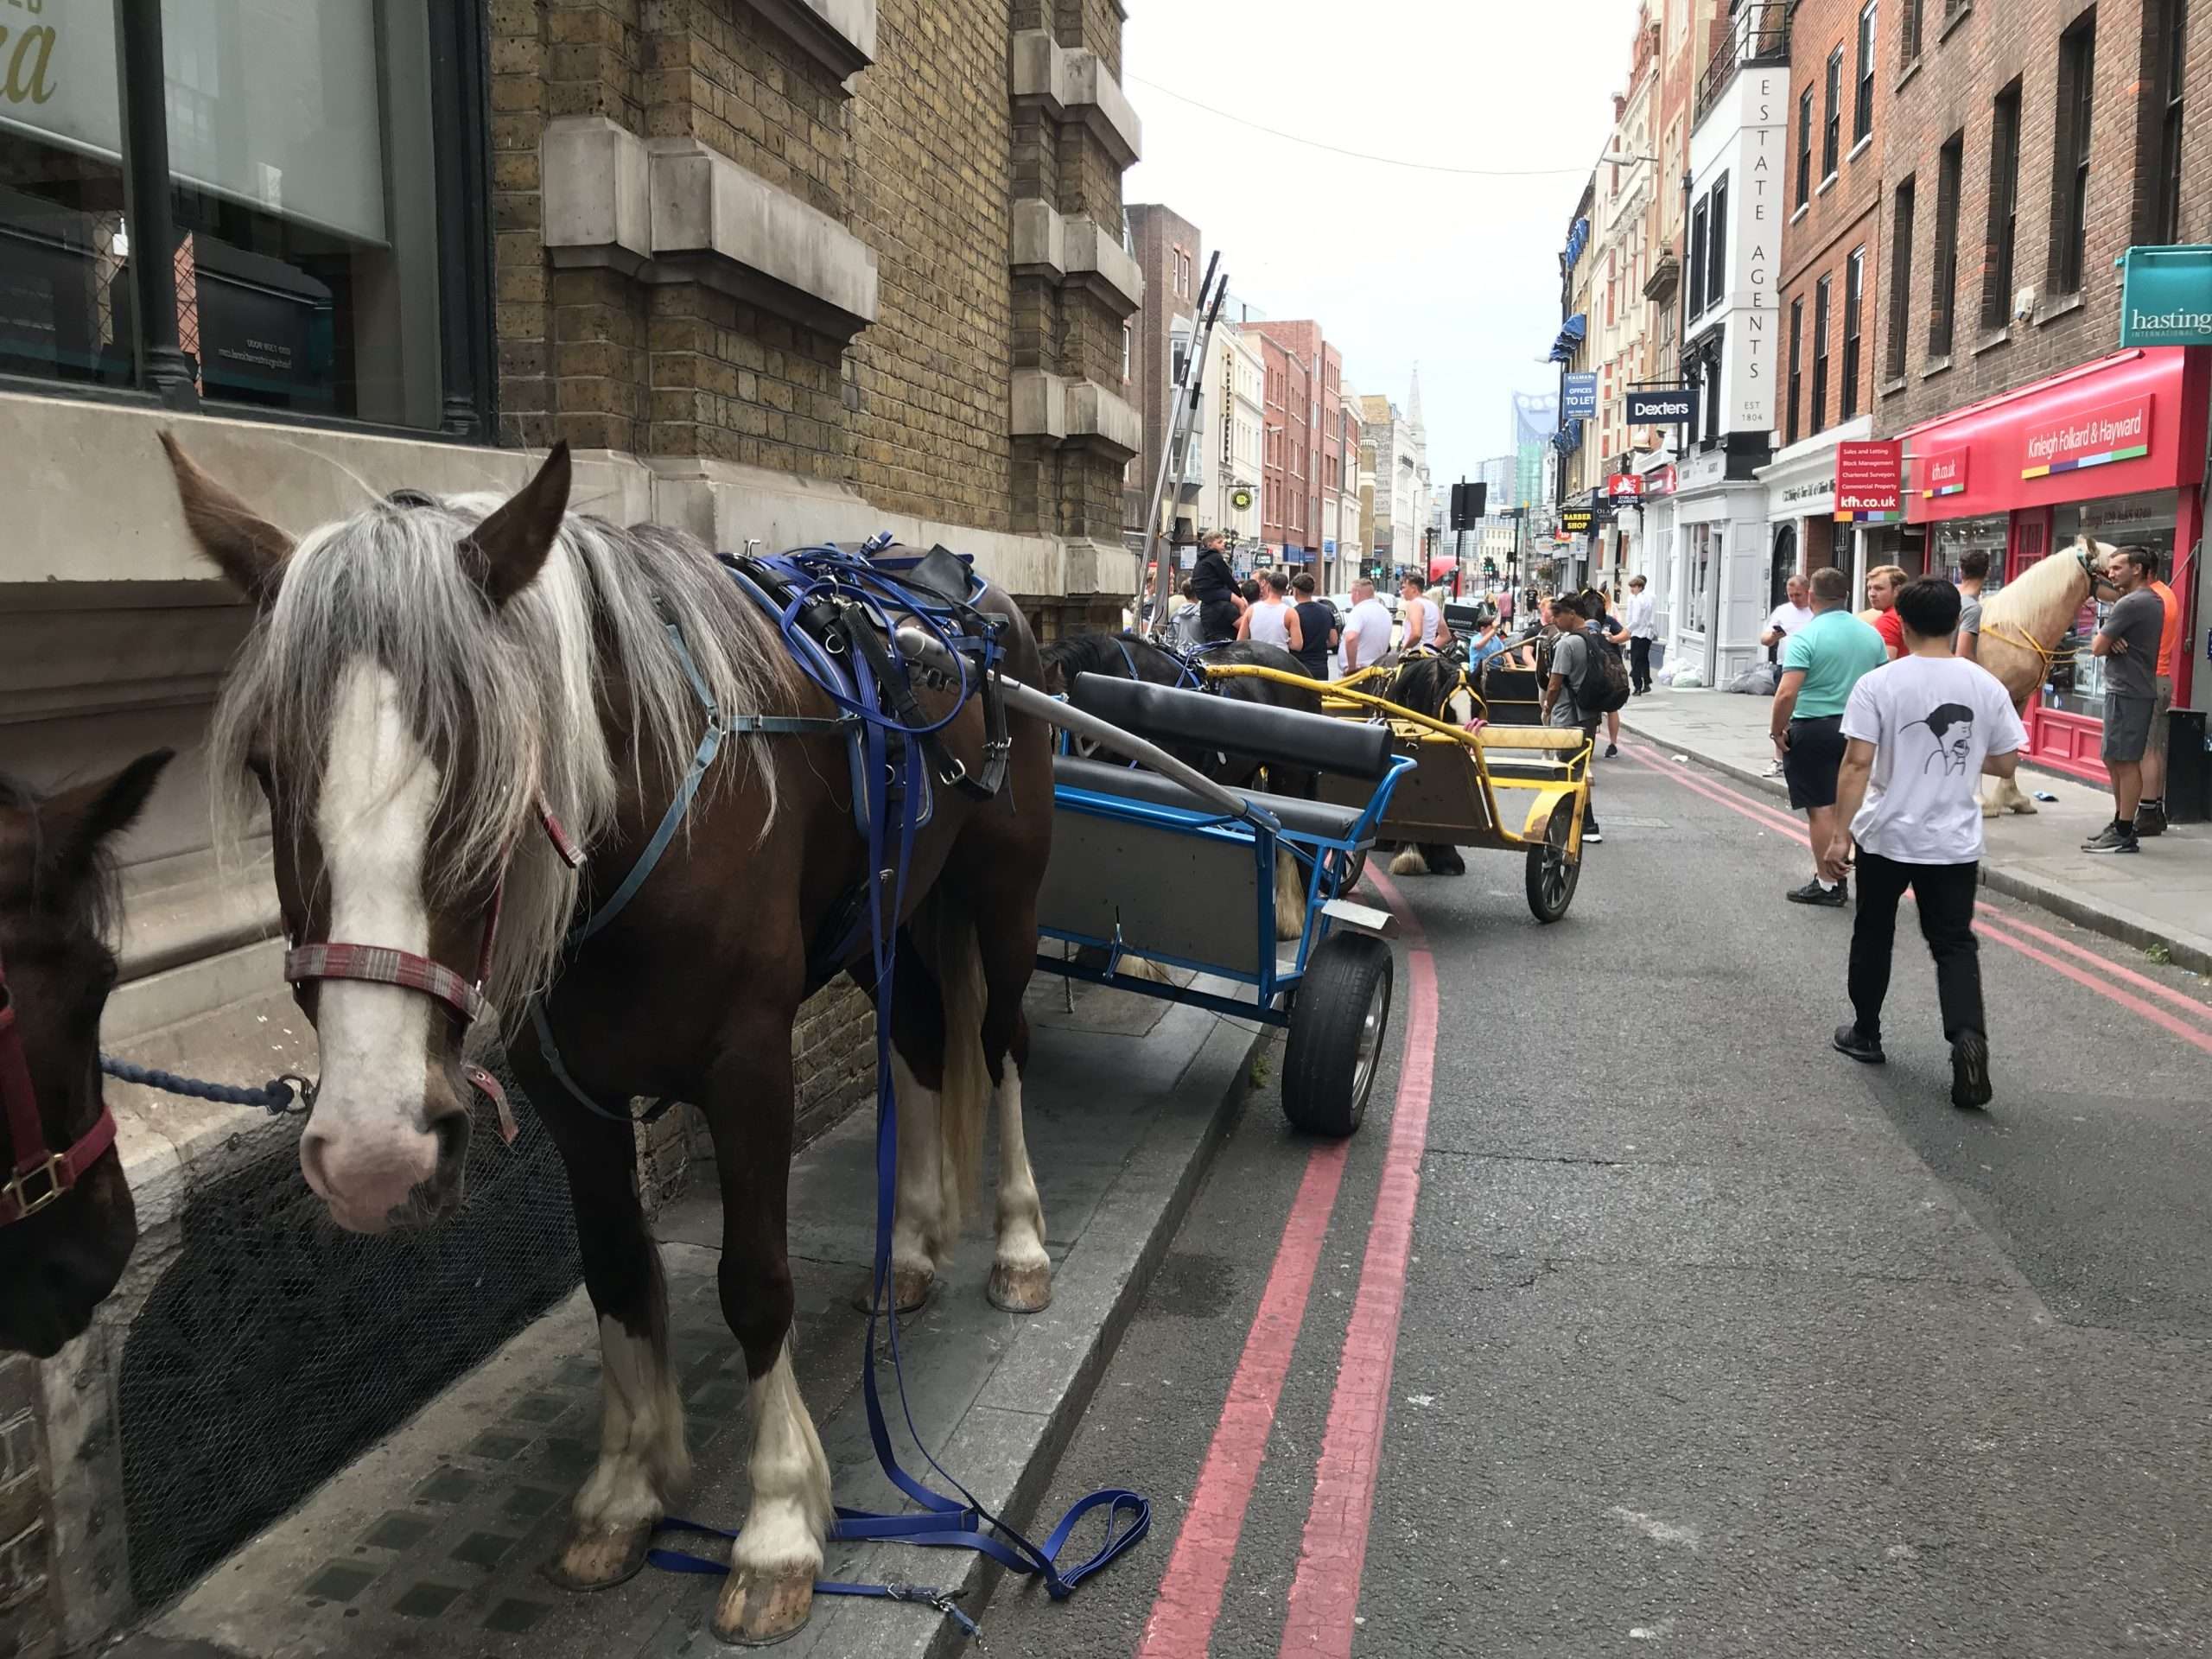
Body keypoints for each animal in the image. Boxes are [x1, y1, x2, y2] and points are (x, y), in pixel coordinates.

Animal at [161, 437, 1044, 1654]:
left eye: (497, 754)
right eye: (263, 762)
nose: (376, 1155)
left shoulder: (748, 1066)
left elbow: (754, 1279)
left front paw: (776, 1525)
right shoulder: (563, 1088)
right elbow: (618, 1268)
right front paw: (627, 1494)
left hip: (1003, 893)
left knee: (998, 1050)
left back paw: (1018, 1245)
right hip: (884, 910)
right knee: (916, 1040)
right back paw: (908, 1249)